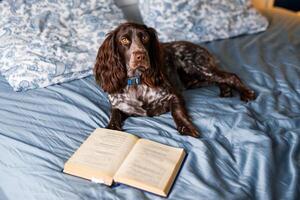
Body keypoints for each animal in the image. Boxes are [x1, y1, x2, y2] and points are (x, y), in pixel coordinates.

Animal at [94, 22, 255, 138]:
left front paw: (187, 127)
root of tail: (200, 47)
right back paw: (225, 90)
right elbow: (114, 116)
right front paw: (111, 129)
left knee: (230, 76)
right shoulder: (118, 105)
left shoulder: (174, 95)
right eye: (124, 39)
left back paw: (246, 93)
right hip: (192, 81)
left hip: (197, 66)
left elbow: (177, 112)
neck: (137, 82)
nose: (141, 55)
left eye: (144, 37)